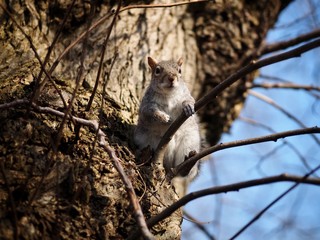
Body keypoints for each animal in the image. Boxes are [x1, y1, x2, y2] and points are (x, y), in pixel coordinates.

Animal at [134, 56, 200, 197]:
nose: (172, 78)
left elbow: (189, 100)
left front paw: (188, 106)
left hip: (189, 142)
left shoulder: (185, 95)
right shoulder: (147, 105)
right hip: (145, 141)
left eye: (179, 70)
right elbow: (150, 112)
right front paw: (163, 118)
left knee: (182, 171)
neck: (169, 94)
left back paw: (188, 164)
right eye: (157, 71)